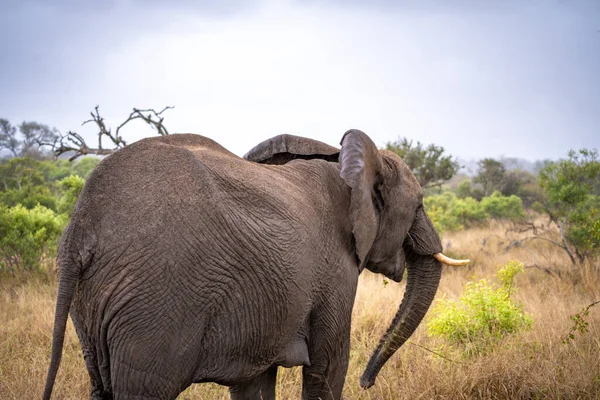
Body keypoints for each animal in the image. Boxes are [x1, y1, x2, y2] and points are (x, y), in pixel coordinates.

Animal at [43, 130, 468, 398]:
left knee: (101, 386)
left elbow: (254, 382)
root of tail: (81, 226)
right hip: (155, 300)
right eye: (420, 205)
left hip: (91, 300)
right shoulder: (335, 273)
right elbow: (328, 369)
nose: (369, 383)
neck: (349, 161)